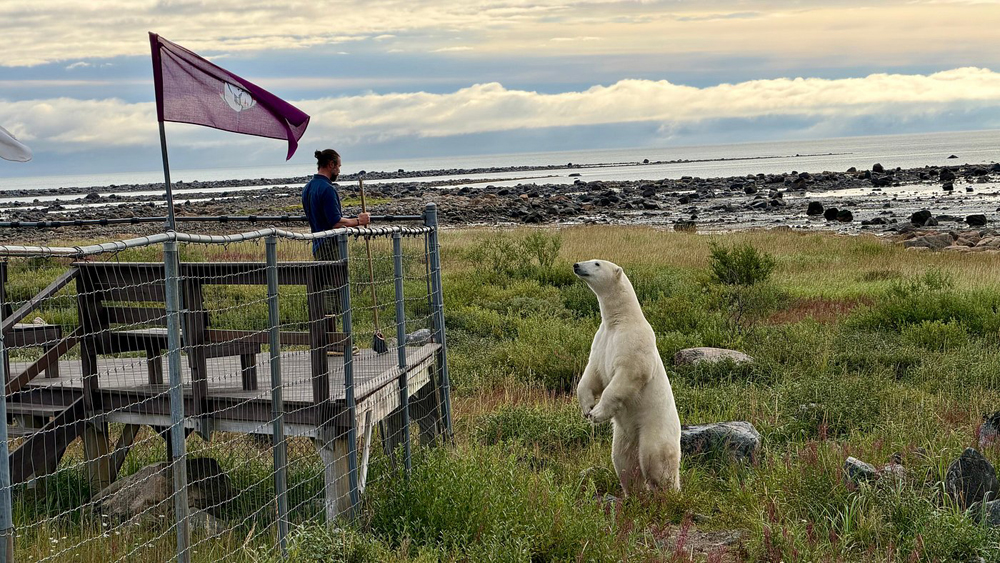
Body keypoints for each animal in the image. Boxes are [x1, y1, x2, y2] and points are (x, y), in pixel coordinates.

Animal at [573, 259, 682, 493]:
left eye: (596, 263)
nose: (576, 265)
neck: (619, 321)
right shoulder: (602, 341)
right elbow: (592, 374)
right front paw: (587, 408)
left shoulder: (633, 341)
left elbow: (629, 374)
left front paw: (597, 413)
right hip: (624, 435)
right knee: (624, 461)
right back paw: (634, 492)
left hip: (654, 427)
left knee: (656, 460)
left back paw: (669, 492)